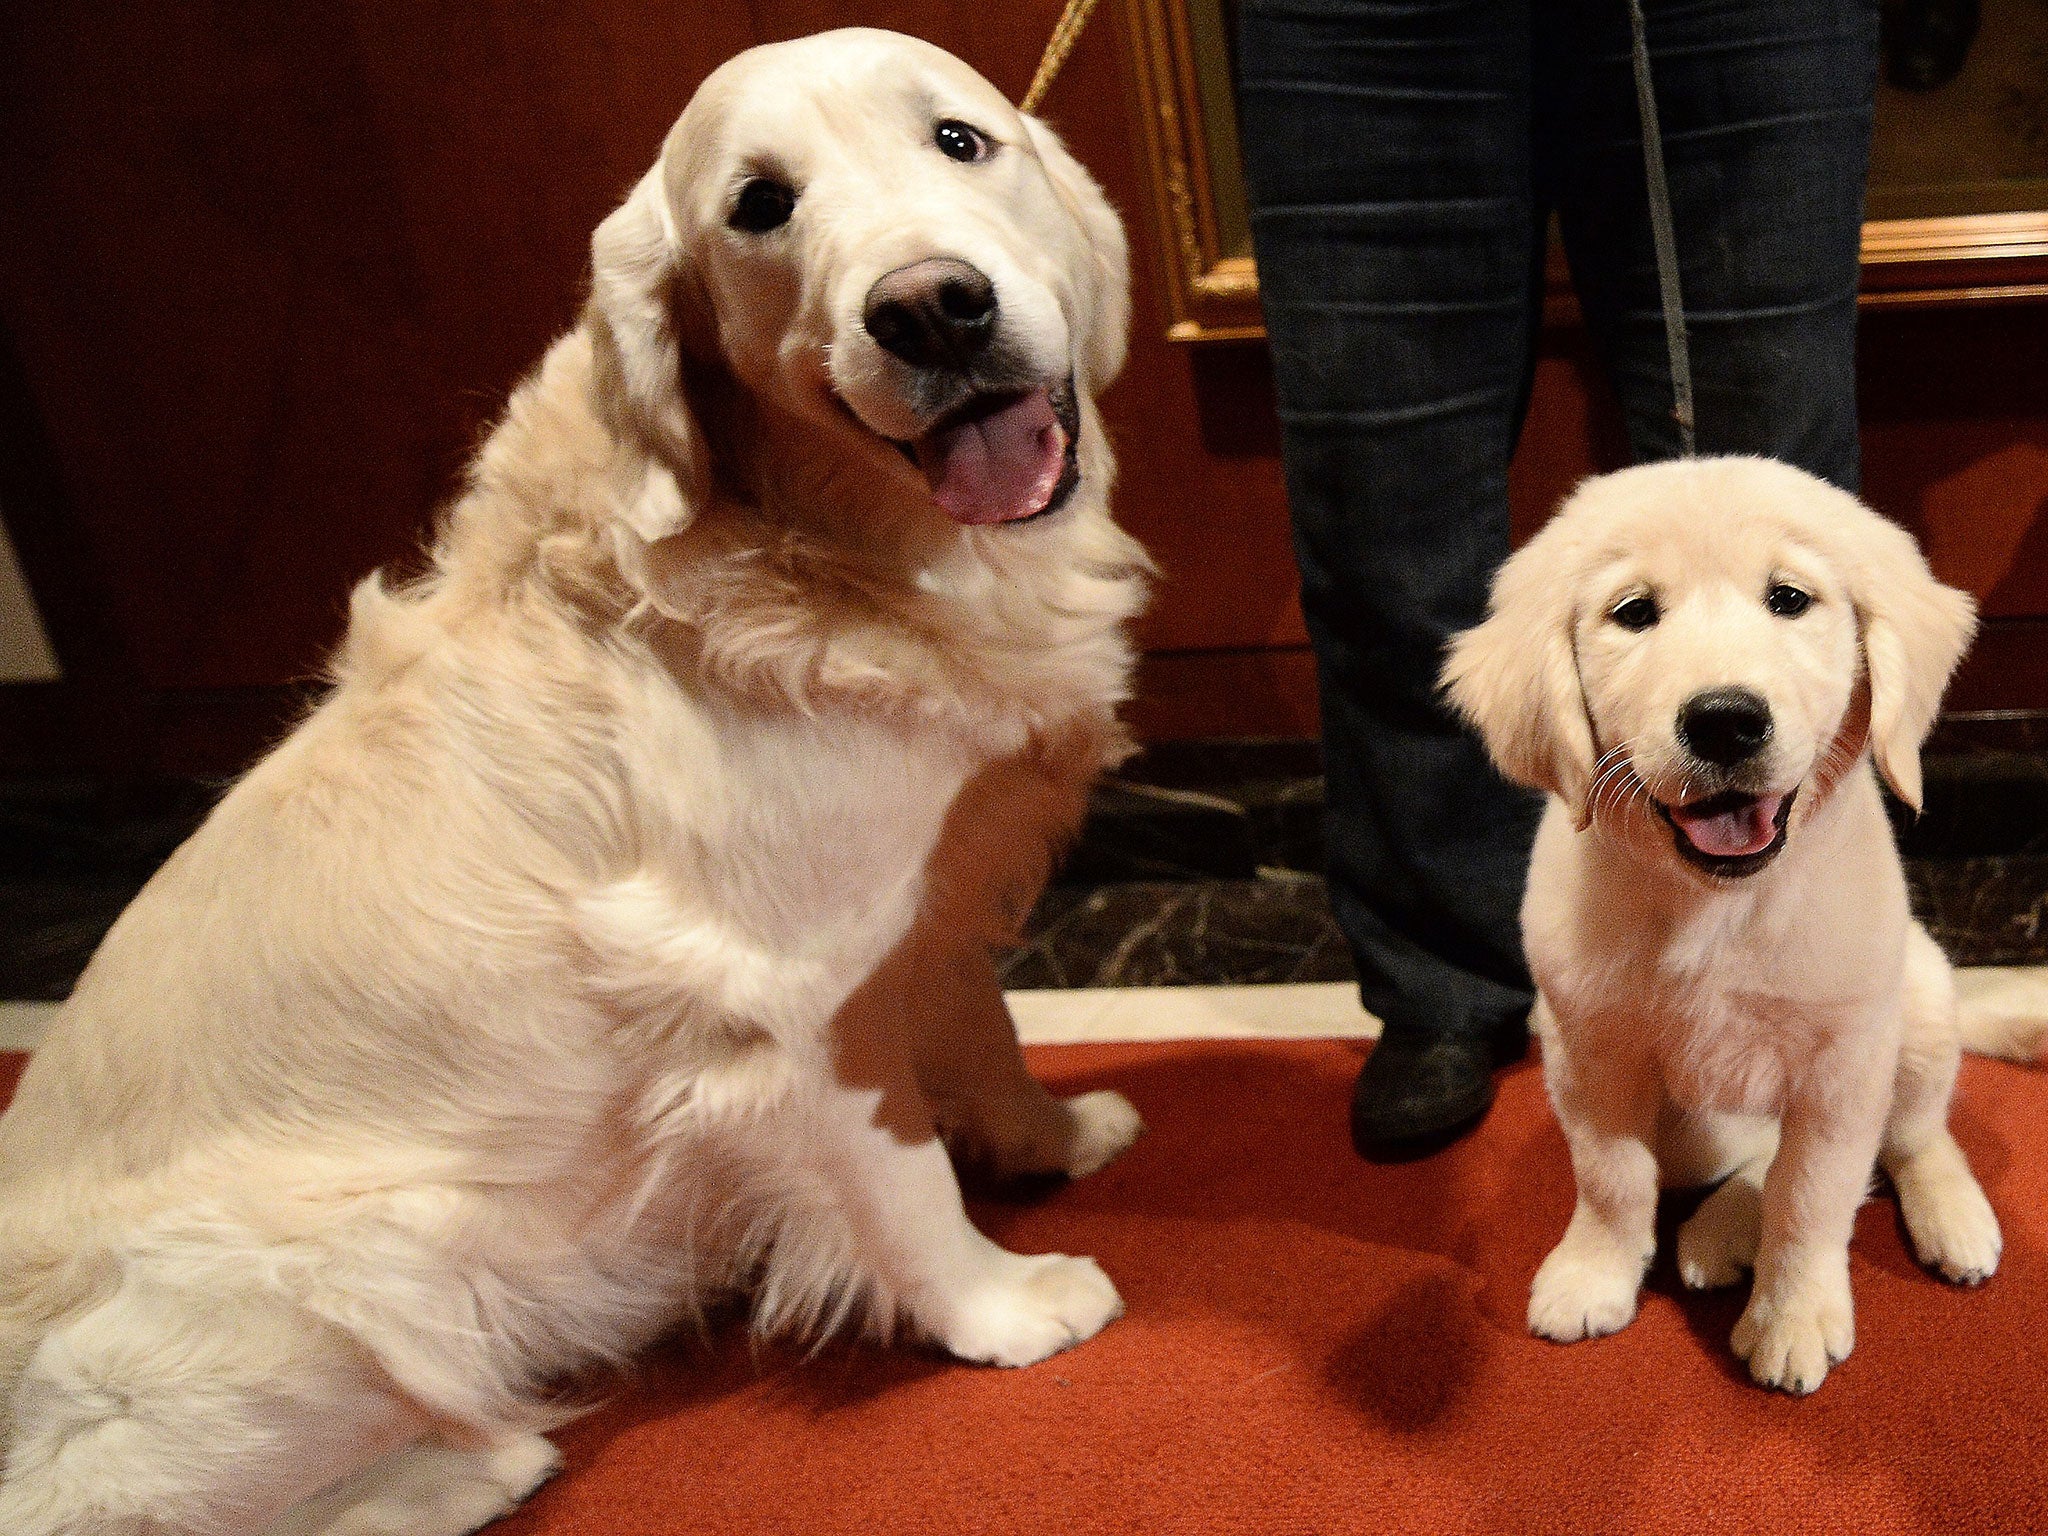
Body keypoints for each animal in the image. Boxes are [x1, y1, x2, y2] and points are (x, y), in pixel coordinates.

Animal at [0, 27, 1155, 1536]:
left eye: (959, 140)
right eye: (759, 208)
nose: (930, 311)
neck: (822, 545)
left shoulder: (924, 902)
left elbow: (986, 1032)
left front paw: (1051, 1134)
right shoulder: (787, 996)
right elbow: (900, 1177)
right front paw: (1002, 1308)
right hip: (367, 1267)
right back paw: (467, 1467)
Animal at [1441, 454, 2015, 1392]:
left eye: (1788, 598)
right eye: (1634, 612)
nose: (1724, 719)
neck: (1718, 906)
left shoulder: (1841, 1064)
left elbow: (1812, 1193)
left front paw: (1794, 1314)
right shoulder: (1588, 1050)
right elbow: (1611, 1177)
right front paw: (1594, 1274)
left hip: (1923, 1003)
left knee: (1915, 1137)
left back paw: (1950, 1217)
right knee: (1749, 1160)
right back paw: (1723, 1228)